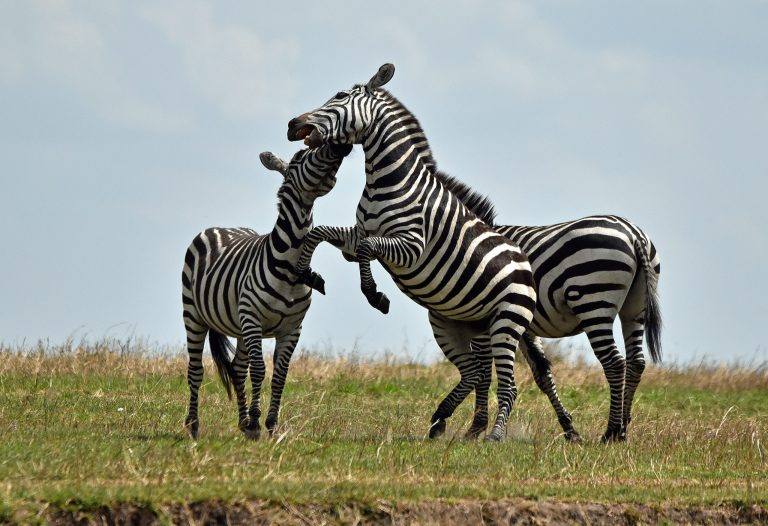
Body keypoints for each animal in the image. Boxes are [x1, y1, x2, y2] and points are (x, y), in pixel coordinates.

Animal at [181, 142, 352, 439]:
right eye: (301, 156)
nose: (341, 145)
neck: (290, 267)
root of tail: (220, 227)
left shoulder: (292, 328)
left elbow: (280, 375)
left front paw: (269, 425)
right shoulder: (253, 320)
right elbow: (260, 370)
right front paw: (256, 420)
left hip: (237, 325)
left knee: (238, 368)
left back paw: (242, 424)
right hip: (194, 314)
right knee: (196, 370)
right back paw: (193, 425)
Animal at [287, 63, 537, 441]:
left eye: (340, 96)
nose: (292, 124)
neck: (386, 181)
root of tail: (525, 263)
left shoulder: (410, 245)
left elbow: (367, 249)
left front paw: (375, 295)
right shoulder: (358, 234)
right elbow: (320, 234)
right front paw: (307, 274)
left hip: (507, 322)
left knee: (508, 385)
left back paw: (494, 436)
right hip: (452, 323)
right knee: (475, 372)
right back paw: (441, 421)